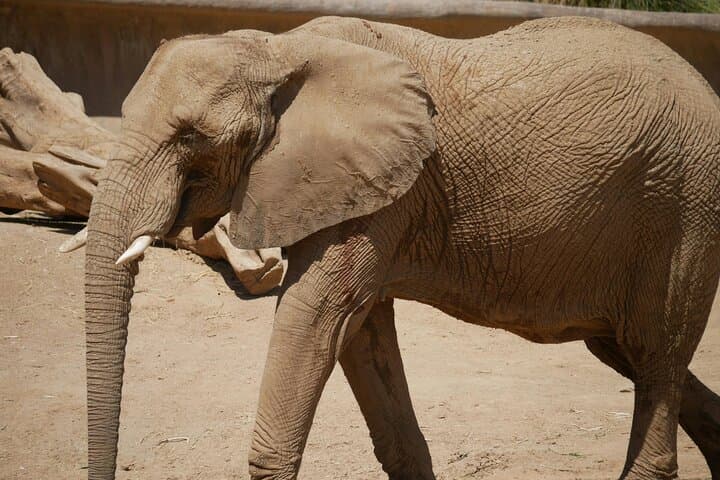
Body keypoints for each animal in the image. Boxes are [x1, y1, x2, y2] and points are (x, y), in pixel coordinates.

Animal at [82, 15, 720, 480]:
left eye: (191, 138)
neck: (278, 48)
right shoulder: (358, 186)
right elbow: (361, 331)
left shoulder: (379, 188)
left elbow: (317, 312)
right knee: (626, 352)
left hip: (684, 210)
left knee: (656, 354)